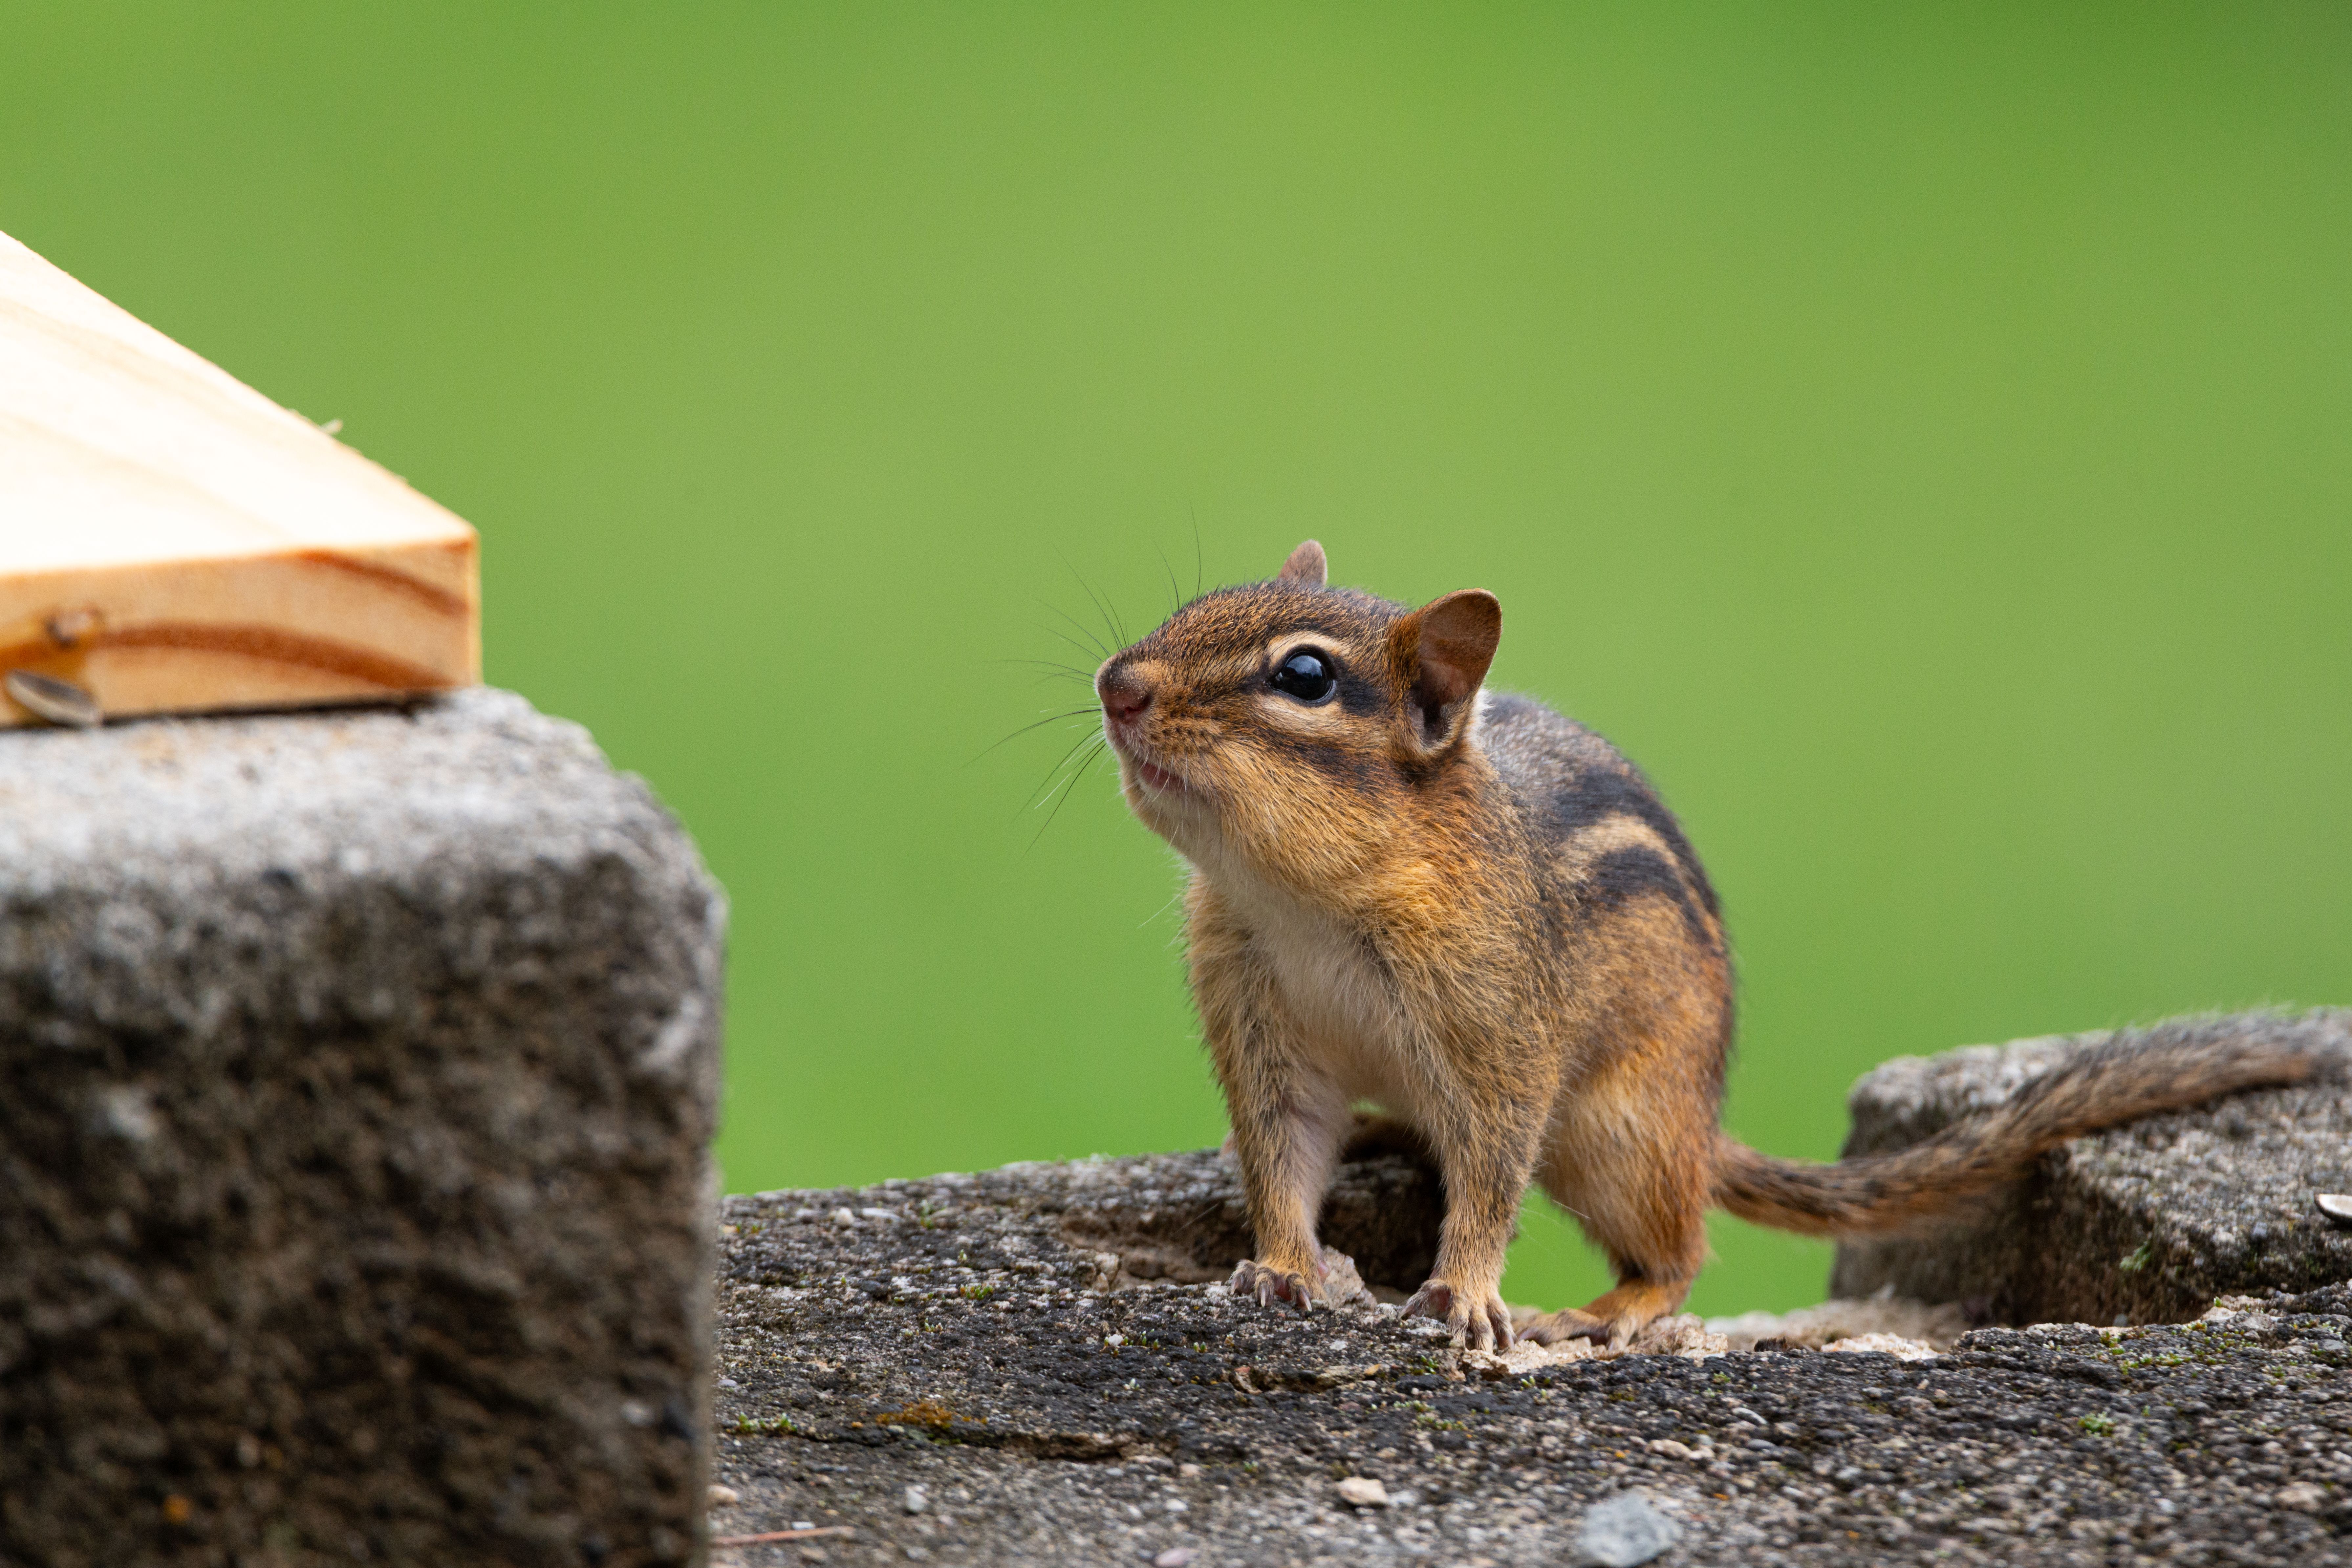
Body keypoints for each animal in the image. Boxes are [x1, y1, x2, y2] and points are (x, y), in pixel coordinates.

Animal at [1092, 539, 2328, 1350]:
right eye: (1197, 602)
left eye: (1303, 675)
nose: (1116, 683)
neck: (1304, 900)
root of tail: (1702, 1123)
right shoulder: (1257, 1019)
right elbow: (1282, 1155)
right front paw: (1281, 1264)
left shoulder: (1500, 1035)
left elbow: (1491, 1169)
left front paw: (1467, 1290)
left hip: (1616, 1132)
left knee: (1677, 1253)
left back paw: (1605, 1310)